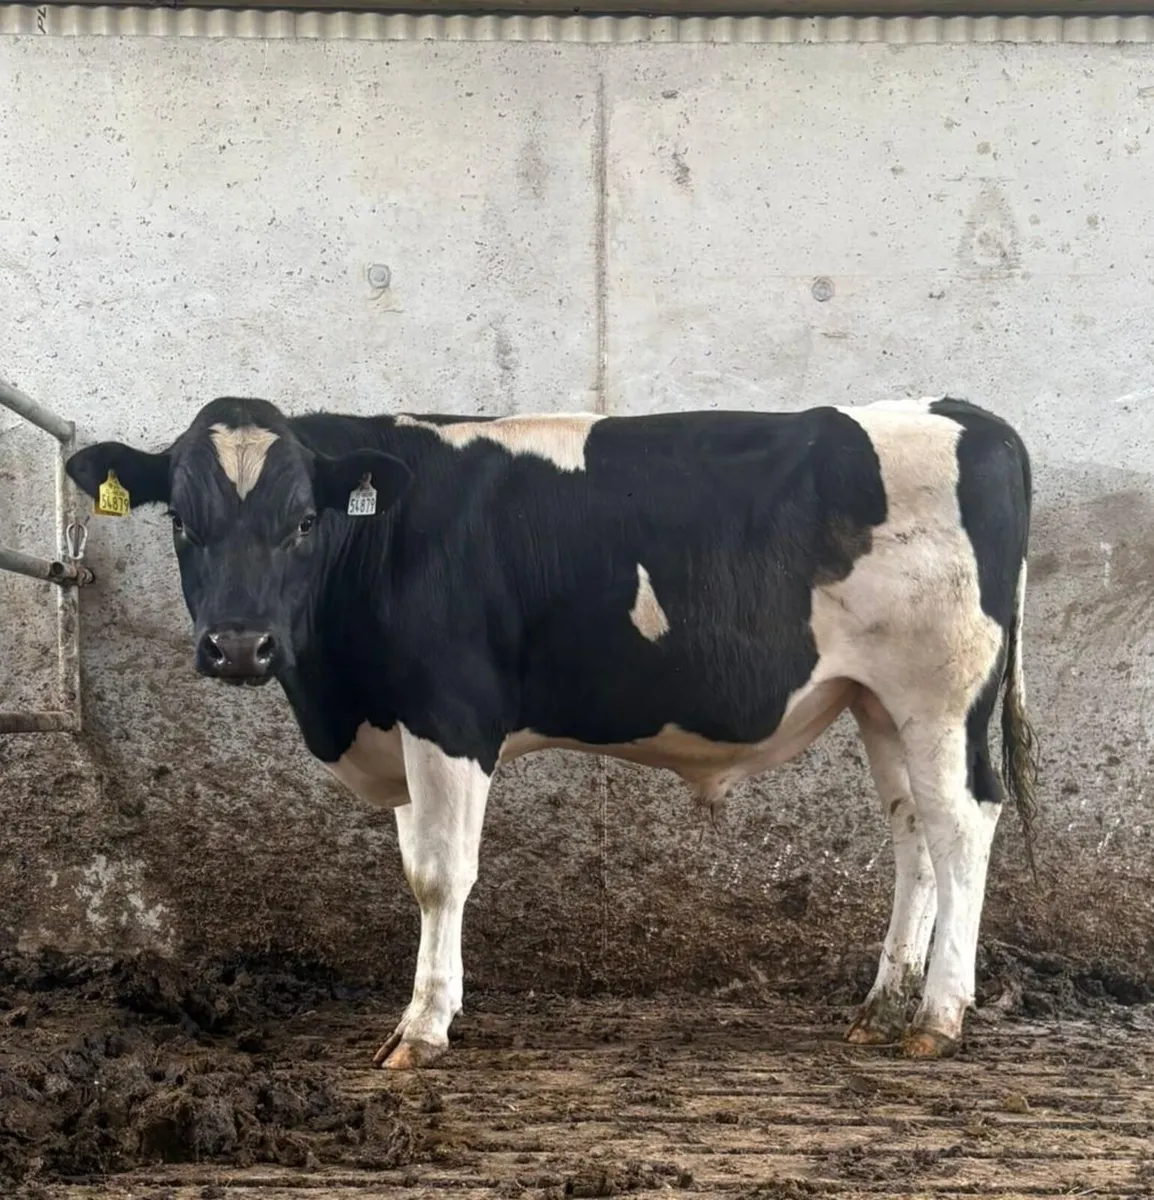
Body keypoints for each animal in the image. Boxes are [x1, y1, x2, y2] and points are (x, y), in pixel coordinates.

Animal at [66, 394, 1037, 1068]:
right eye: (181, 522)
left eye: (304, 520)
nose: (238, 645)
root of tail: (967, 413)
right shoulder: (405, 725)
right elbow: (417, 869)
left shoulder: (451, 715)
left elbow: (440, 877)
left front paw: (423, 1027)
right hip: (878, 702)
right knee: (913, 834)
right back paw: (882, 1008)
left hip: (942, 696)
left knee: (962, 826)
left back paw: (939, 1016)